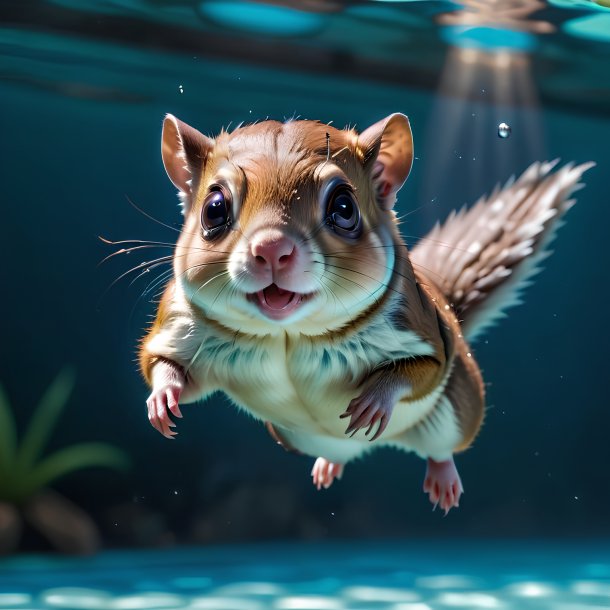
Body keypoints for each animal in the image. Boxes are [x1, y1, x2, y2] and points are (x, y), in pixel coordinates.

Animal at [137, 111, 588, 510]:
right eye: (214, 208)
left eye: (343, 208)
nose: (271, 249)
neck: (287, 334)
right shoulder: (178, 325)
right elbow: (164, 365)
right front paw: (162, 402)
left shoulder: (422, 333)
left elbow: (420, 370)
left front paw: (373, 402)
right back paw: (328, 466)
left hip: (459, 410)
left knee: (442, 448)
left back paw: (442, 479)